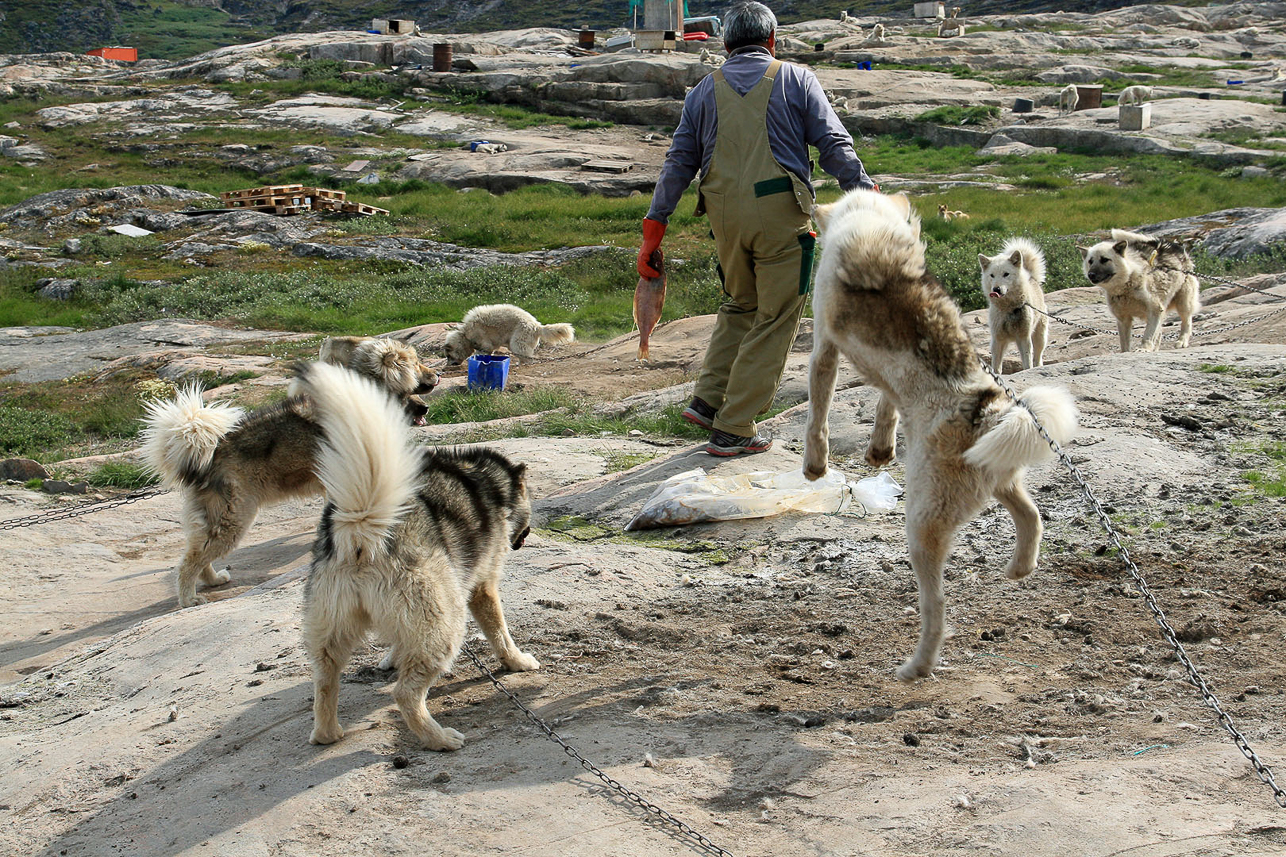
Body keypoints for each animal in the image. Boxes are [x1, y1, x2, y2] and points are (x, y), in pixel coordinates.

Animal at [295, 360, 537, 746]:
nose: (523, 539)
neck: (485, 476)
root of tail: (363, 528)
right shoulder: (483, 588)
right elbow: (500, 632)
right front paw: (516, 662)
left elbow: (397, 645)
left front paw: (391, 658)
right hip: (445, 624)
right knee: (405, 694)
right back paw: (439, 739)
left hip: (330, 631)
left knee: (325, 680)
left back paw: (327, 733)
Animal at [447, 302, 578, 362]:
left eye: (448, 356)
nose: (450, 365)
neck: (465, 333)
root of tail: (537, 326)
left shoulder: (483, 339)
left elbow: (483, 350)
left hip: (520, 336)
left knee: (524, 354)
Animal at [977, 234, 1049, 370]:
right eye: (992, 275)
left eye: (1006, 274)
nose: (996, 289)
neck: (1008, 308)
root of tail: (1031, 277)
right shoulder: (997, 340)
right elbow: (996, 366)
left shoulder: (1023, 337)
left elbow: (1027, 363)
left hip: (1040, 337)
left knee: (1038, 357)